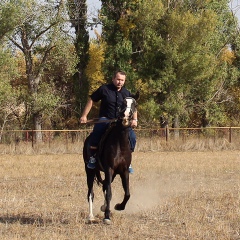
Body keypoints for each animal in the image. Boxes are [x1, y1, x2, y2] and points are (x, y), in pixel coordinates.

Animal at [83, 94, 138, 225]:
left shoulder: (123, 171)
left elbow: (127, 193)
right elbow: (109, 193)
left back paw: (103, 207)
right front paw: (107, 217)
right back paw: (91, 216)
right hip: (89, 171)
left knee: (104, 186)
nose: (126, 116)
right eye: (122, 103)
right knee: (90, 193)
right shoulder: (109, 169)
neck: (120, 143)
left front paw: (118, 207)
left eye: (135, 104)